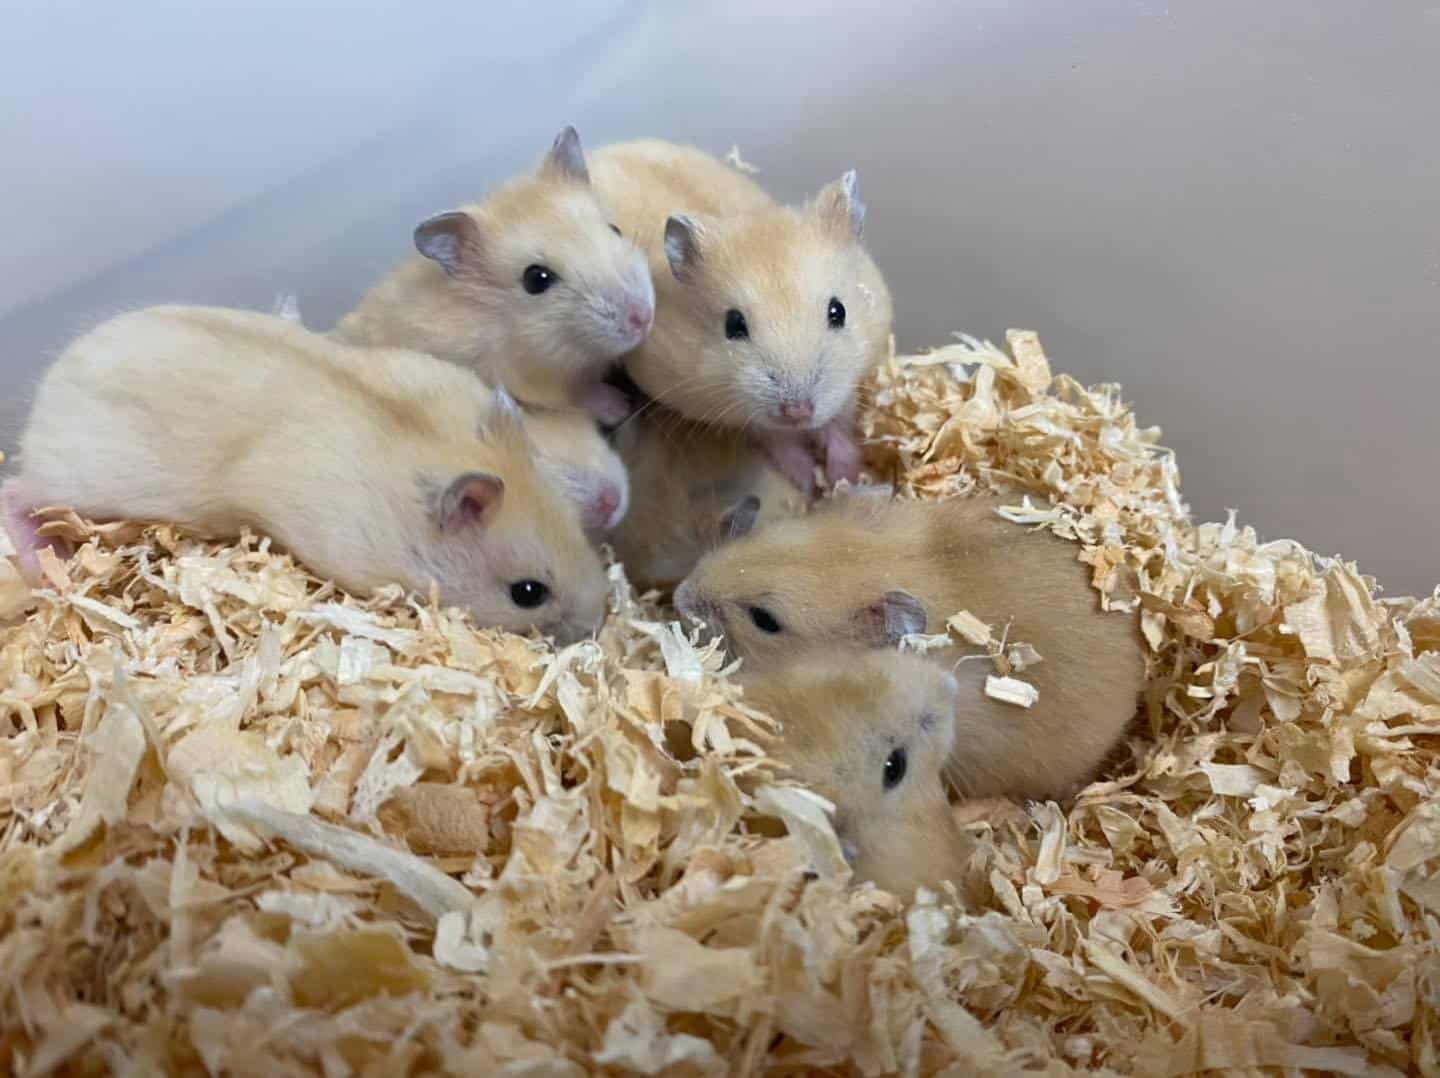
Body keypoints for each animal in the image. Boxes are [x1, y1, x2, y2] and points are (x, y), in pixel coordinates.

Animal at [3, 305, 608, 643]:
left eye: (584, 538)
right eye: (528, 593)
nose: (599, 621)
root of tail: (45, 398)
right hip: (71, 482)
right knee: (15, 494)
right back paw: (45, 565)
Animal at [334, 127, 655, 424]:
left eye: (615, 229)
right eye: (536, 279)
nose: (643, 318)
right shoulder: (533, 382)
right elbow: (580, 397)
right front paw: (621, 405)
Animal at [586, 140, 893, 491]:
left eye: (838, 312)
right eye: (733, 325)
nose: (797, 413)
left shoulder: (848, 387)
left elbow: (839, 425)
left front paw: (845, 477)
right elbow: (773, 437)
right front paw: (807, 481)